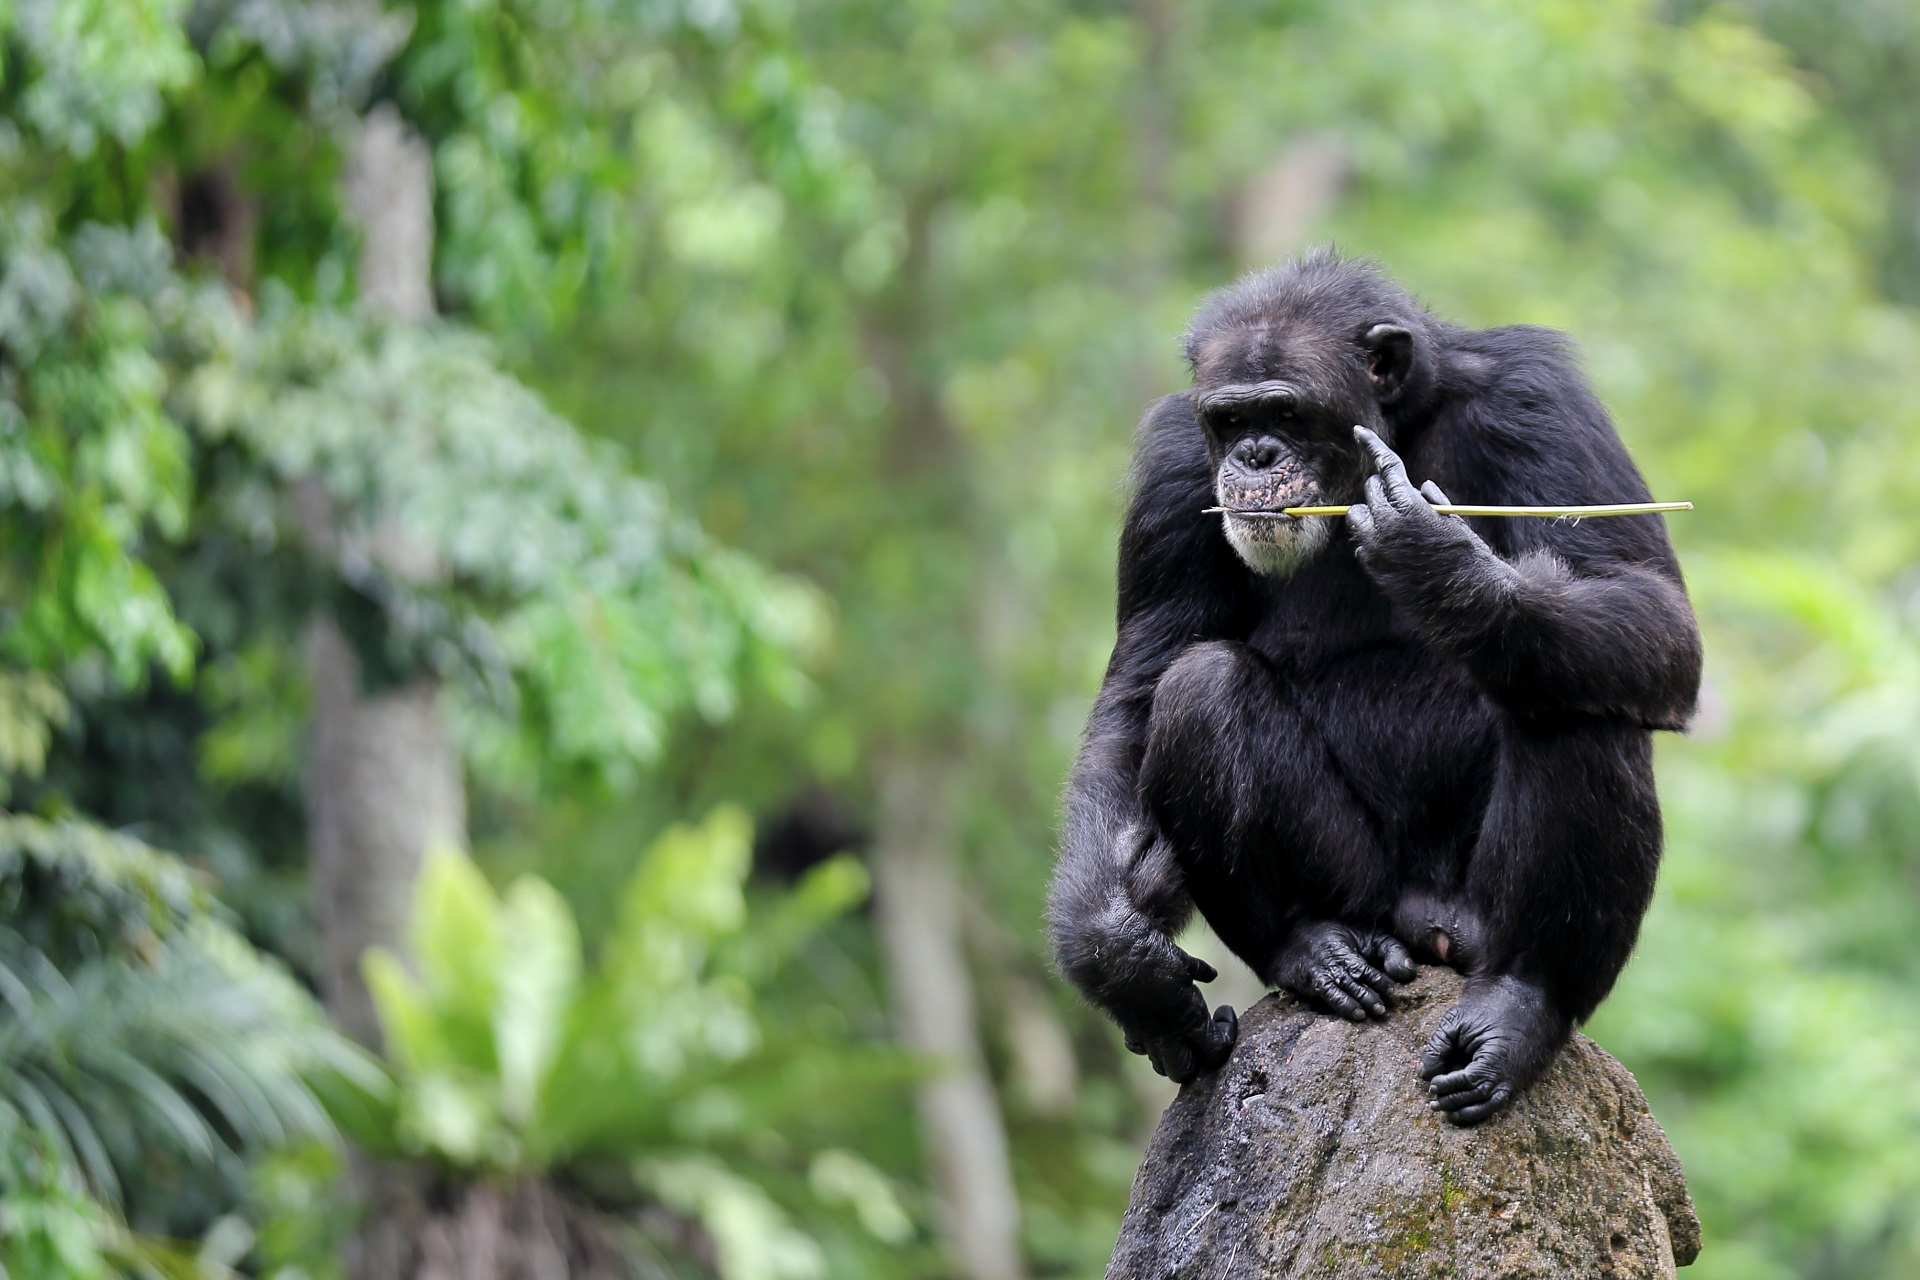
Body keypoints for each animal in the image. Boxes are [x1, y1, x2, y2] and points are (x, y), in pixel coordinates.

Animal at [1059, 247, 1704, 1120]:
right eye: (1228, 421)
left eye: (1287, 414)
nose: (1252, 458)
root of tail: (1426, 928)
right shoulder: (1171, 468)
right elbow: (1141, 685)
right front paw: (1123, 966)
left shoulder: (1540, 400)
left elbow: (1648, 604)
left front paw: (1437, 561)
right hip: (1364, 894)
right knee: (1200, 687)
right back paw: (1309, 948)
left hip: (1475, 918)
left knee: (1579, 700)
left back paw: (1520, 1005)